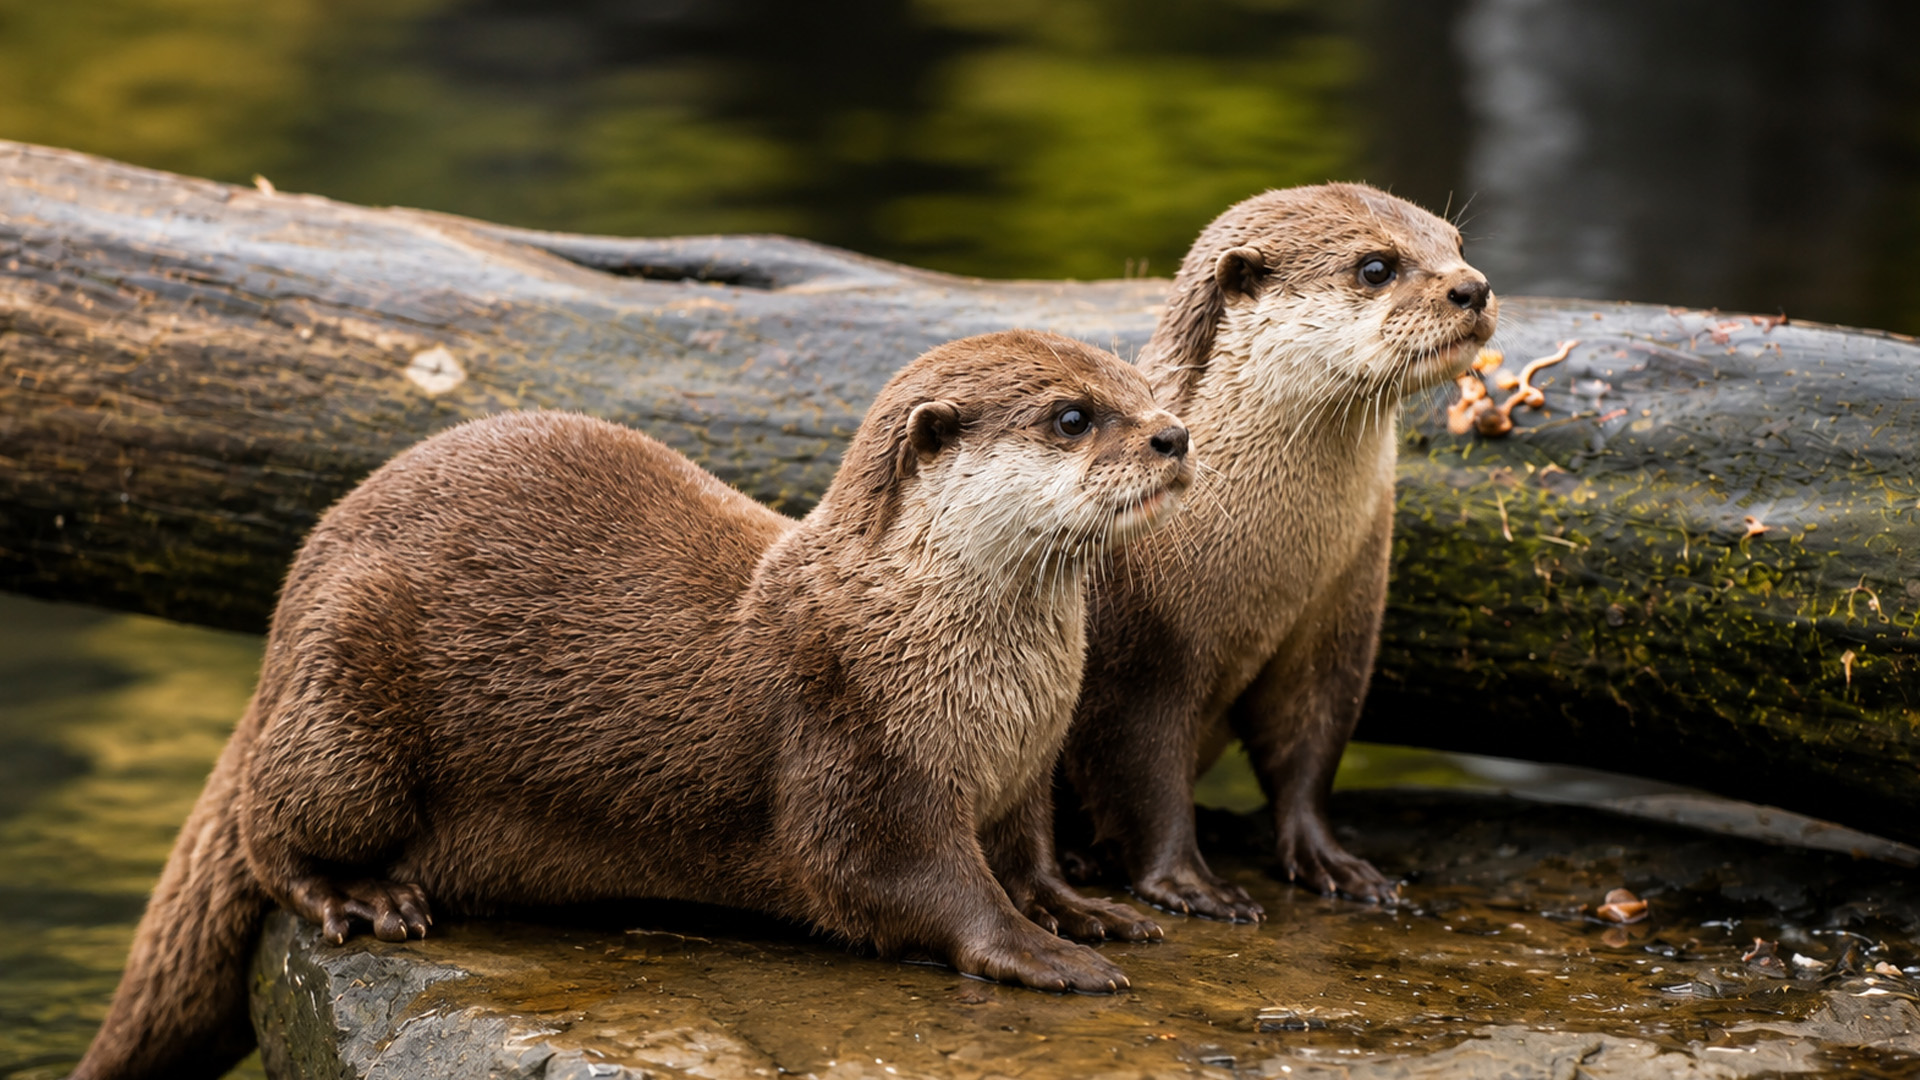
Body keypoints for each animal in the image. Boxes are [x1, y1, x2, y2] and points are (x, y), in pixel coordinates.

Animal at [74, 330, 1189, 1080]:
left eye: (1144, 386)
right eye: (1074, 417)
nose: (1177, 436)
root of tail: (295, 595)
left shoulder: (1027, 772)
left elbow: (1028, 860)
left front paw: (1087, 911)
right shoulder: (852, 748)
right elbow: (905, 883)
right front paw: (1042, 955)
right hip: (344, 696)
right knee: (270, 835)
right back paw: (362, 899)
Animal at [1061, 184, 1498, 920]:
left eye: (1458, 245)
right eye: (1376, 267)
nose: (1474, 287)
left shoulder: (1337, 622)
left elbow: (1309, 754)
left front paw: (1335, 863)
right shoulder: (1137, 655)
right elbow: (1144, 780)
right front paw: (1192, 885)